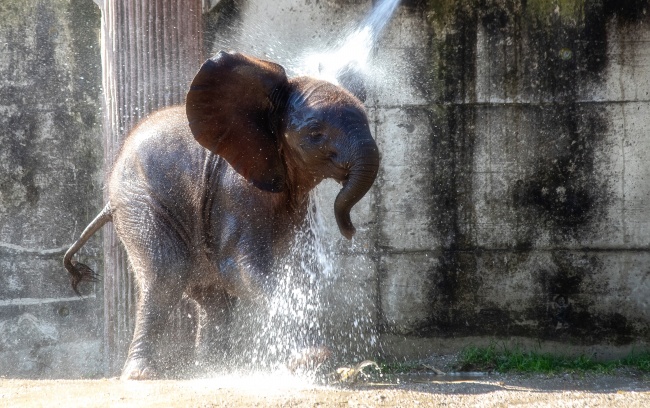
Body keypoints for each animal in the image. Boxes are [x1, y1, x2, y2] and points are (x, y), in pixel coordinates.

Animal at [63, 51, 380, 380]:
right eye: (316, 134)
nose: (350, 230)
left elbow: (296, 268)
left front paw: (308, 359)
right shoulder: (235, 192)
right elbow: (240, 269)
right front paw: (311, 358)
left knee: (211, 298)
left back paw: (210, 369)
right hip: (138, 202)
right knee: (167, 274)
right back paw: (141, 375)